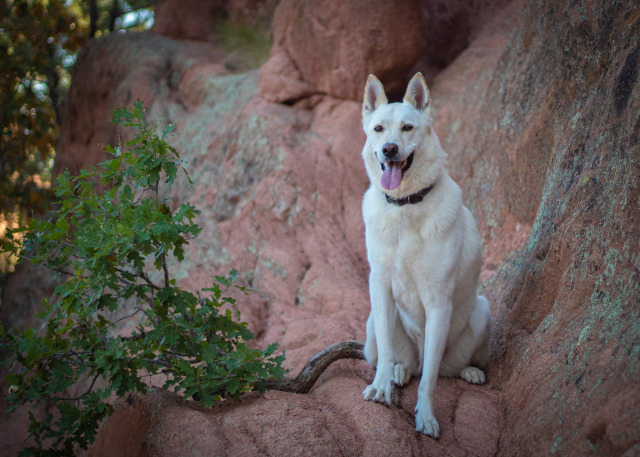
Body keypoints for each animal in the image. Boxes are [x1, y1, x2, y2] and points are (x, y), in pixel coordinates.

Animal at [360, 73, 490, 436]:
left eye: (407, 128)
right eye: (378, 129)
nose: (389, 149)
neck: (405, 207)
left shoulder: (438, 304)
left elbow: (430, 379)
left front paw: (427, 417)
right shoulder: (380, 287)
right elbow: (387, 352)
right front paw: (380, 387)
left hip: (482, 311)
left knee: (440, 367)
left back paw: (470, 372)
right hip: (373, 320)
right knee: (403, 362)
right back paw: (398, 373)